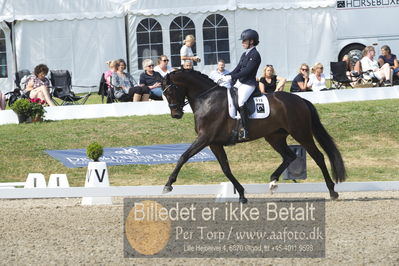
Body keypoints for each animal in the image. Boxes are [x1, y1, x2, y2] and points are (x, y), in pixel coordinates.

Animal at [162, 69, 346, 203]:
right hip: (274, 137)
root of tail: (300, 100)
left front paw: (168, 184)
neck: (207, 99)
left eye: (171, 90)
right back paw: (272, 182)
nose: (176, 114)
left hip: (301, 133)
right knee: (289, 156)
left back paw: (332, 192)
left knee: (318, 156)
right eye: (164, 94)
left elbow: (183, 157)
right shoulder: (214, 143)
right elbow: (226, 169)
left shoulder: (205, 138)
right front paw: (242, 195)